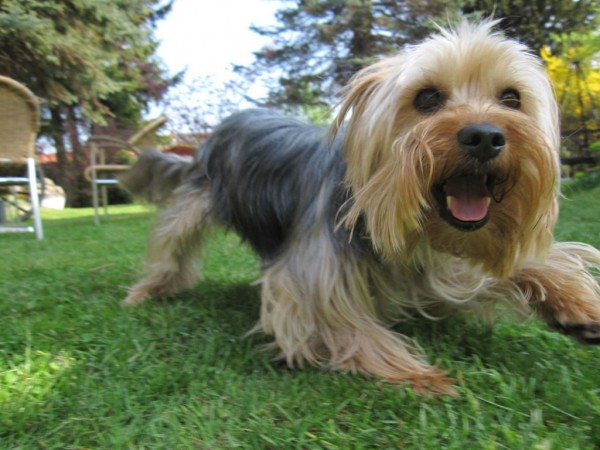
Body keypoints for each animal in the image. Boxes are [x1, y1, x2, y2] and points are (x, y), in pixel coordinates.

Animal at [118, 21, 600, 394]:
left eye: (511, 98)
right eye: (426, 98)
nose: (484, 136)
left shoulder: (443, 263)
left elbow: (512, 267)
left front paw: (576, 305)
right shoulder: (311, 273)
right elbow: (336, 322)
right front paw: (417, 373)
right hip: (195, 198)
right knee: (171, 245)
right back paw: (147, 291)